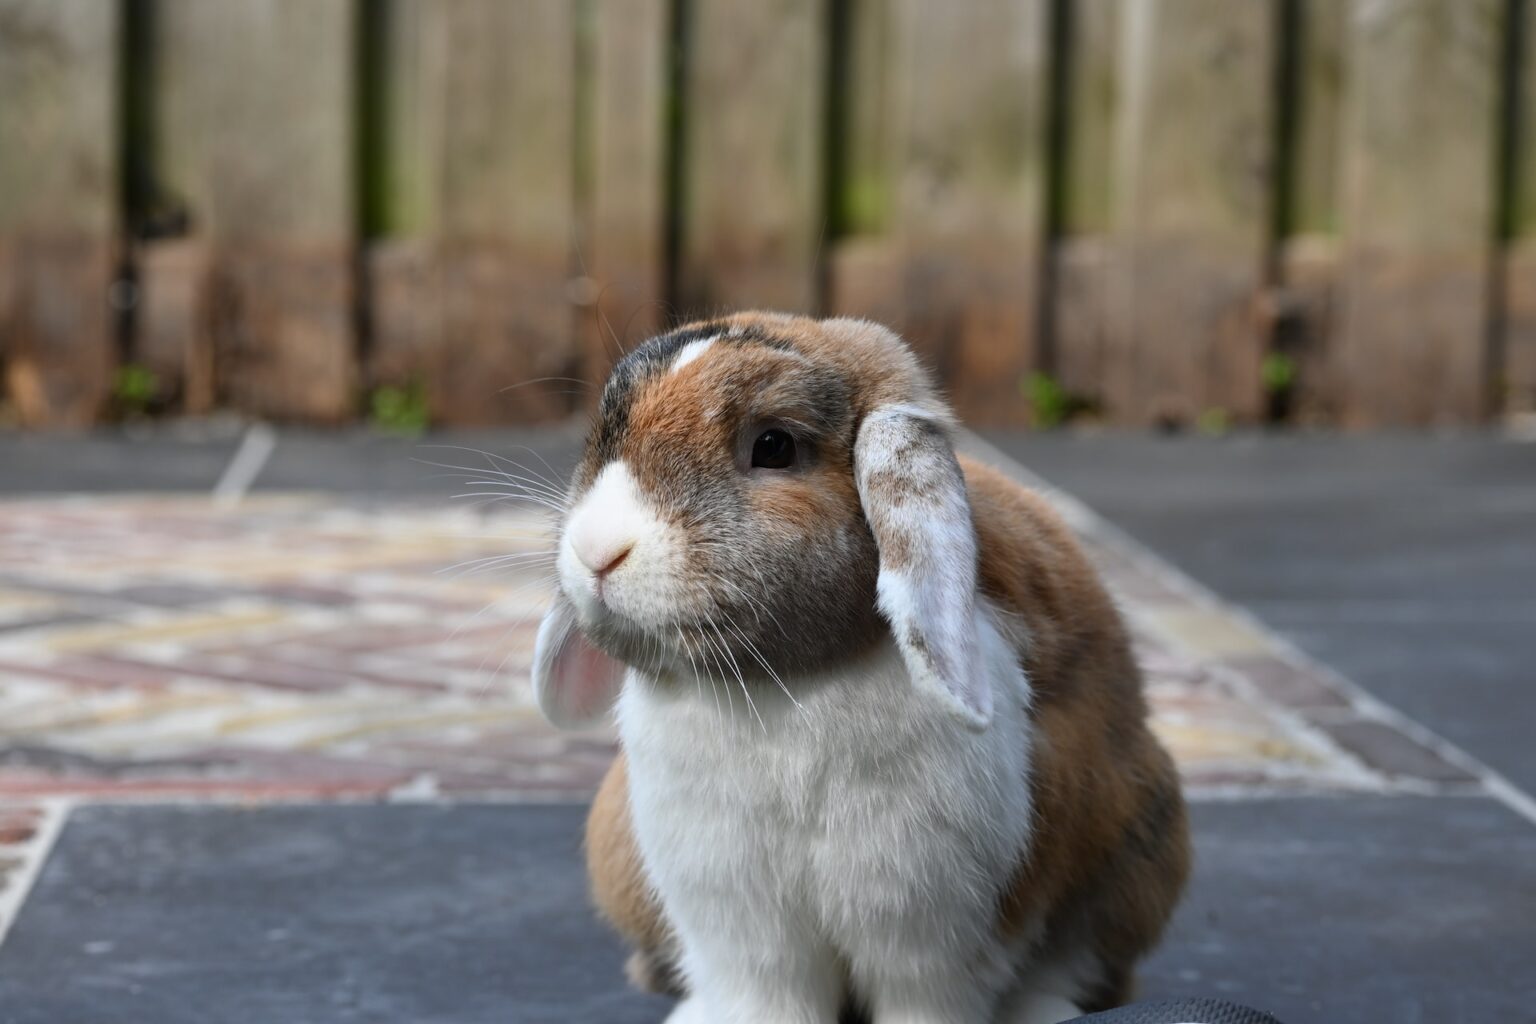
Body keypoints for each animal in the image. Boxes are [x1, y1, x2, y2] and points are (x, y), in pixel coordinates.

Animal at [533, 313, 1190, 1024]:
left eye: (773, 445)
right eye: (607, 427)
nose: (596, 551)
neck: (786, 682)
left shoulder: (931, 922)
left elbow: (925, 996)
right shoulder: (739, 919)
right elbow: (766, 994)